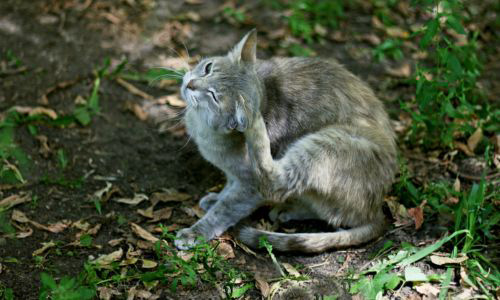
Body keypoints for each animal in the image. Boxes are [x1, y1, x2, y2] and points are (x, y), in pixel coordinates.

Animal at [174, 28, 396, 253]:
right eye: (208, 68)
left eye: (214, 96)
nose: (190, 84)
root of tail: (376, 210)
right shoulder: (234, 174)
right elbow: (229, 189)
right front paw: (217, 197)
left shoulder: (250, 186)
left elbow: (227, 208)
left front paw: (196, 231)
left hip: (329, 142)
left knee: (275, 182)